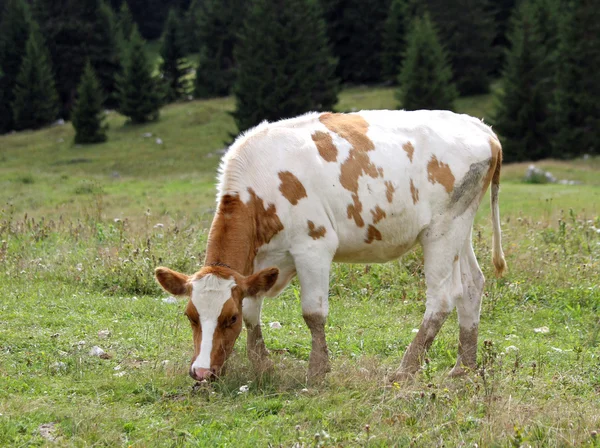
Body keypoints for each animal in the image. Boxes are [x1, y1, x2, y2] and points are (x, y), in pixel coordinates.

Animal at [156, 110, 506, 384]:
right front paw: (262, 365)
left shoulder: (314, 246)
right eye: (191, 316)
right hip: (461, 227)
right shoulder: (259, 263)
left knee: (442, 298)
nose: (202, 372)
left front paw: (317, 372)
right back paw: (464, 368)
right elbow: (253, 310)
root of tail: (481, 127)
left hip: (441, 230)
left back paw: (405, 371)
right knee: (471, 286)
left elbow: (313, 313)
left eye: (229, 319)